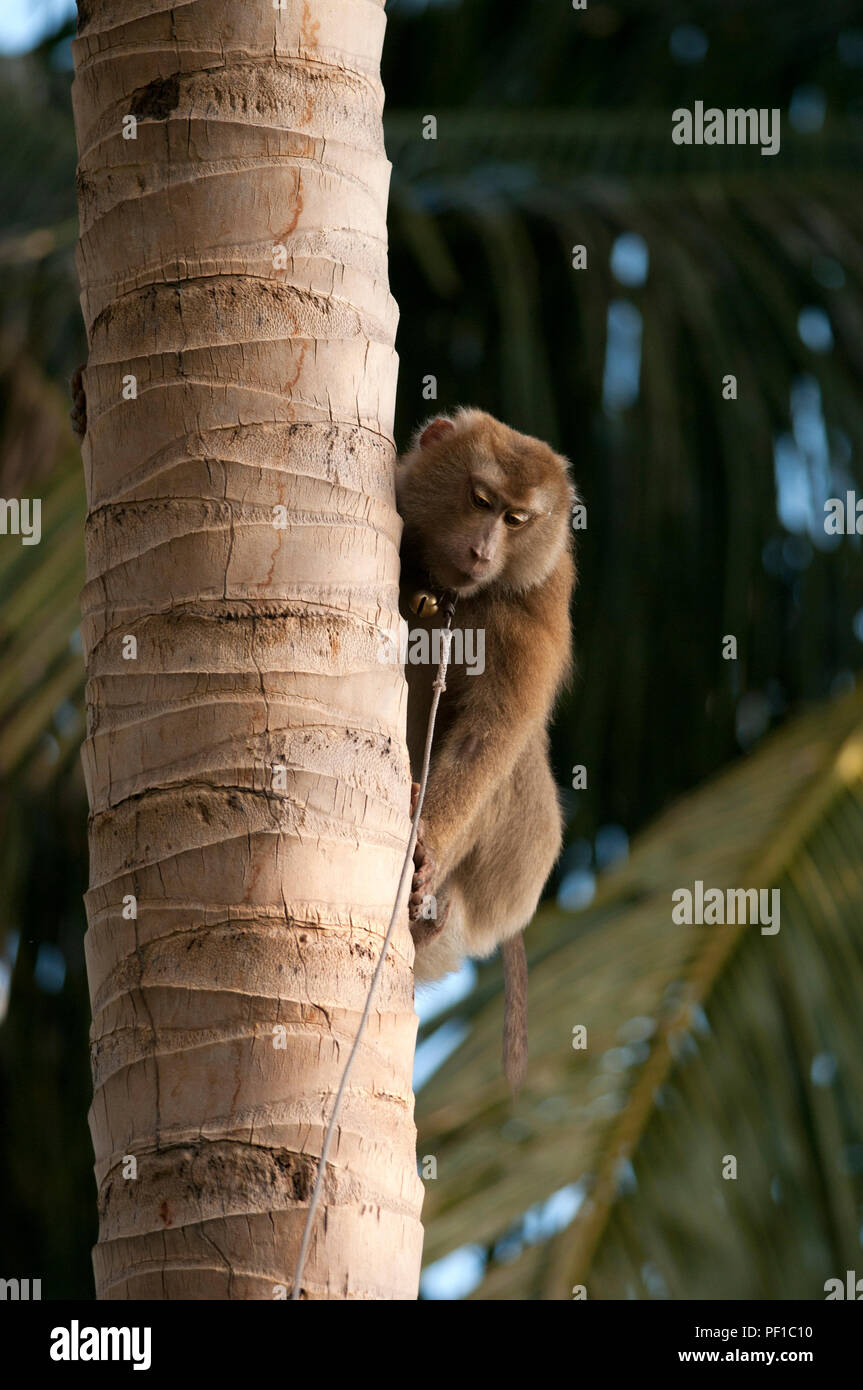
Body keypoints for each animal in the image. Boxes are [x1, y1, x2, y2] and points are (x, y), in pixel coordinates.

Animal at [394, 405, 572, 1089]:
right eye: (480, 500)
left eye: (516, 520)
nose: (482, 550)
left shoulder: (534, 600)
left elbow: (490, 735)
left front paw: (428, 840)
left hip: (511, 875)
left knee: (512, 767)